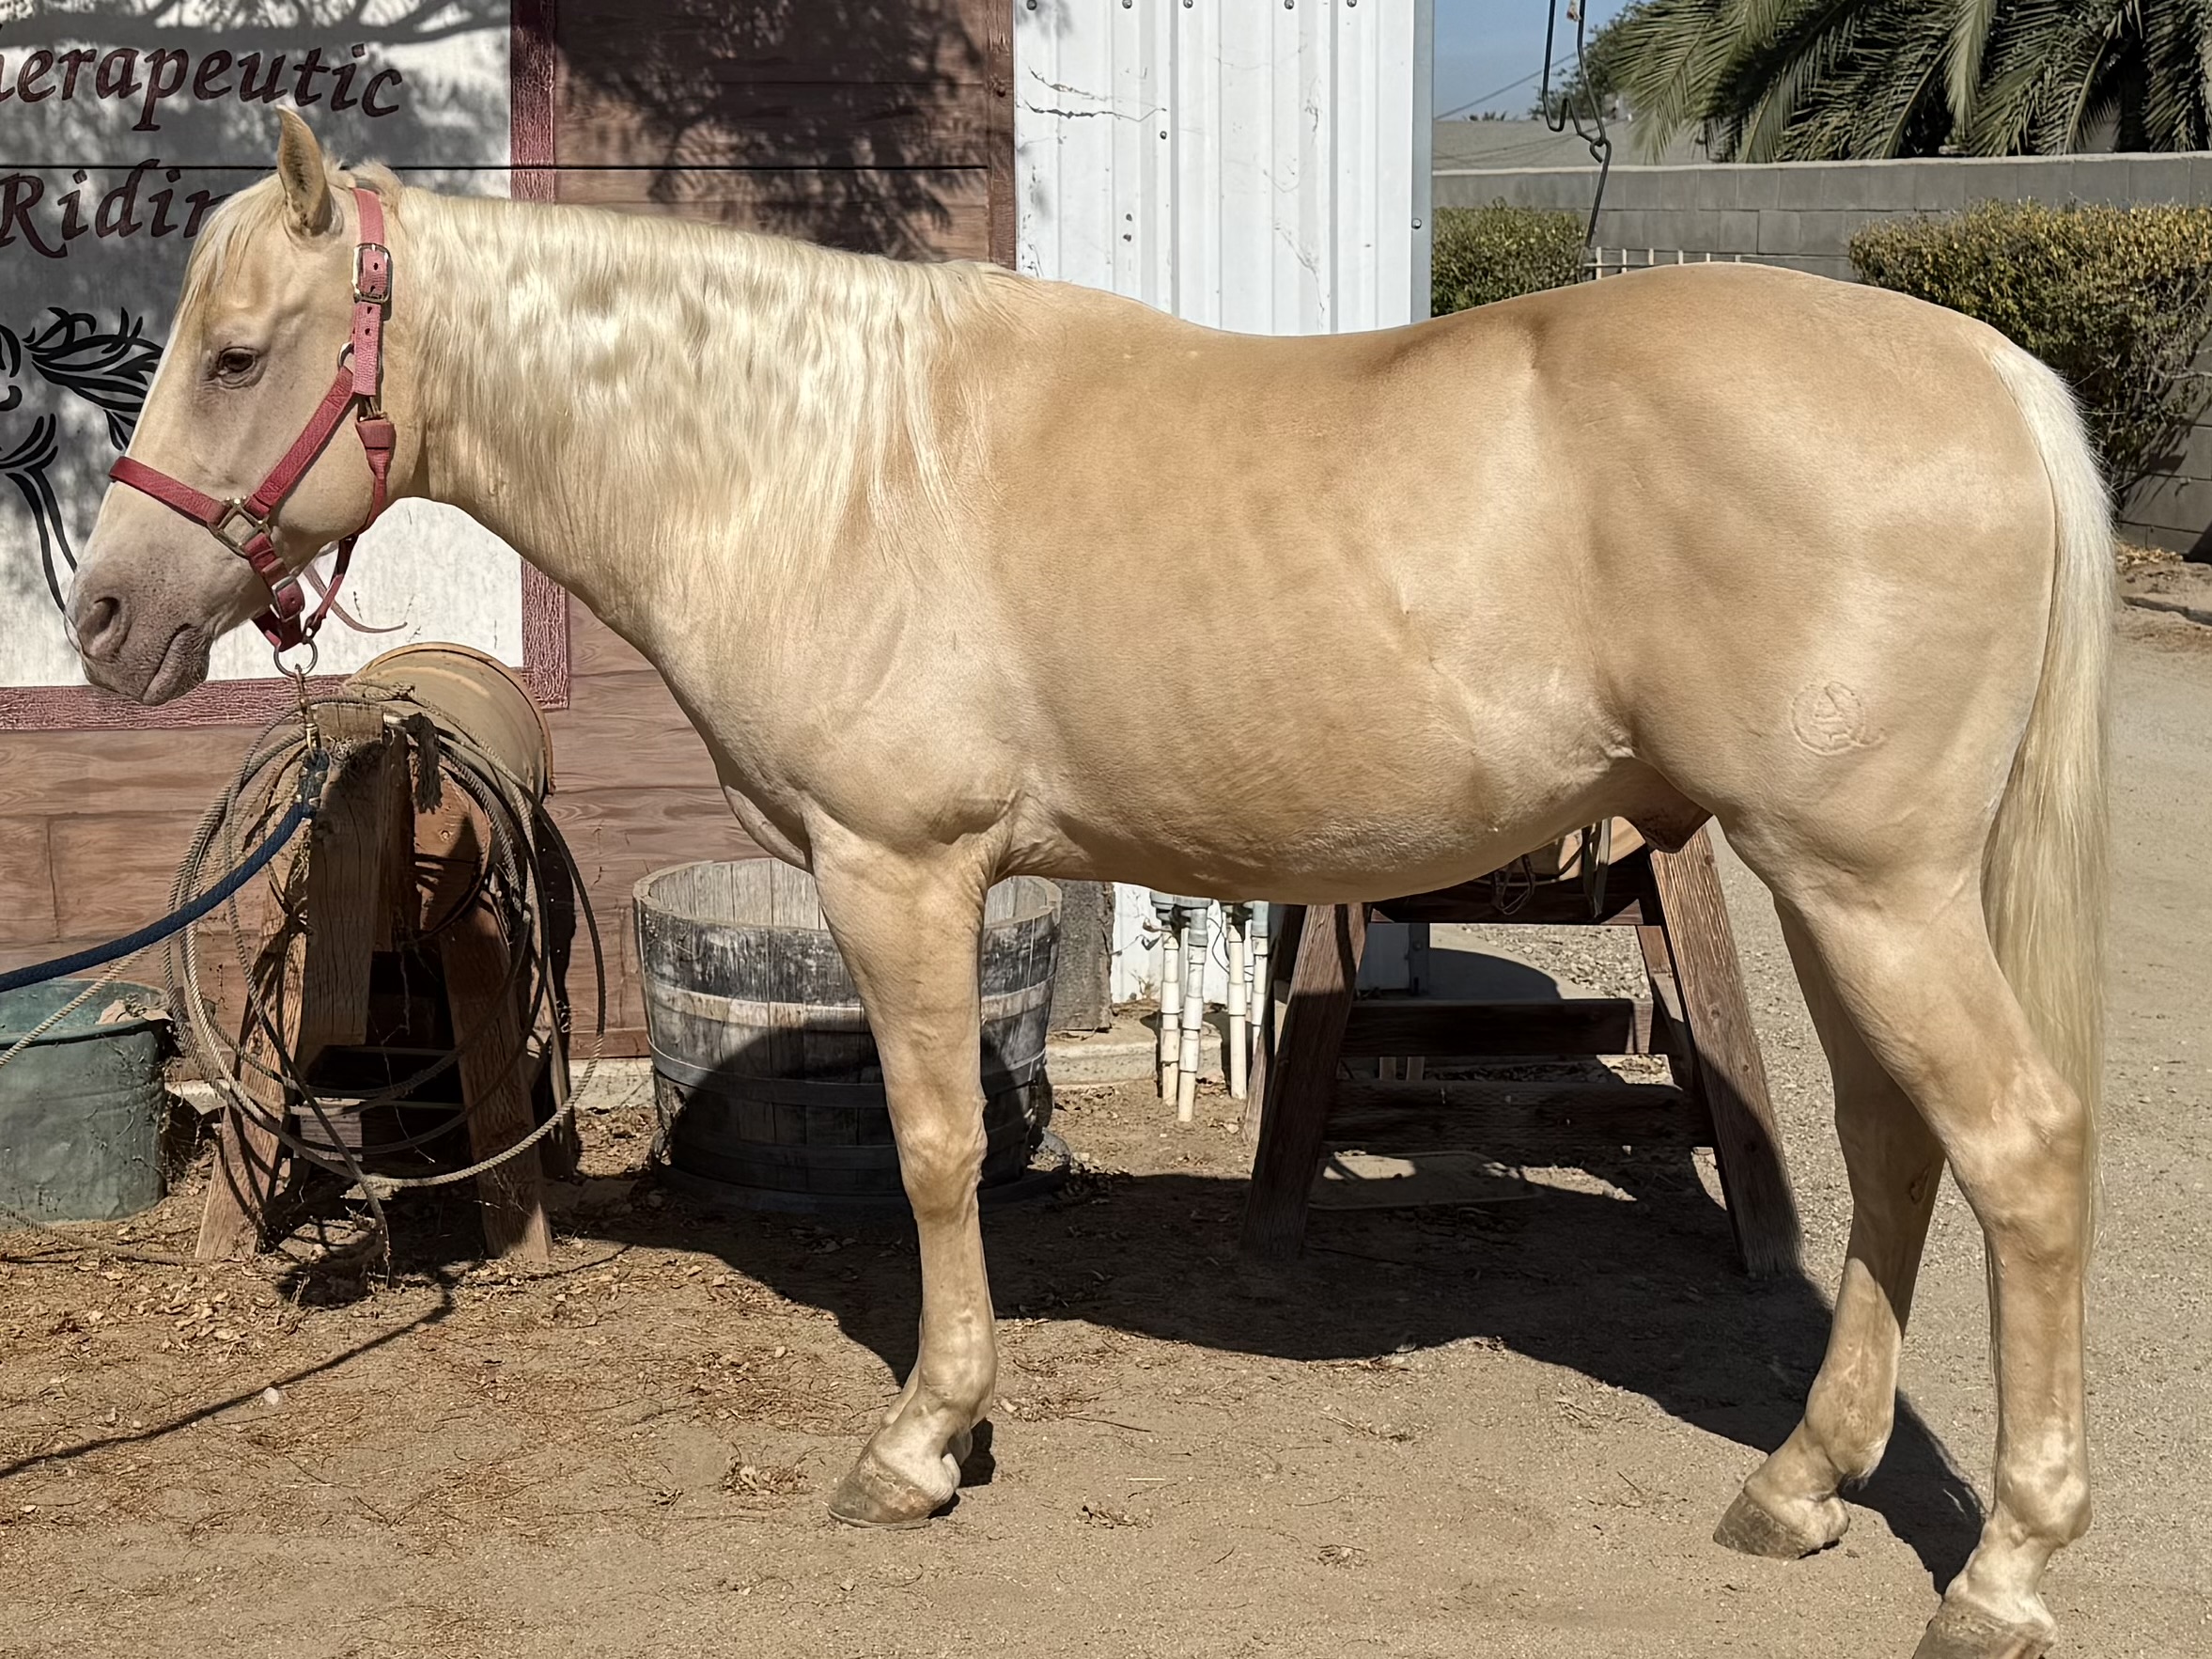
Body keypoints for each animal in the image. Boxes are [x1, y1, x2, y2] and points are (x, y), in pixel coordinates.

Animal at [65, 111, 2109, 1659]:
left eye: (236, 353)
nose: (103, 619)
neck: (813, 462)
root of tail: (1990, 372)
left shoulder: (899, 871)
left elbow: (936, 1149)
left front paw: (922, 1442)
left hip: (1866, 884)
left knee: (2011, 1150)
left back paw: (2000, 1573)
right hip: (1839, 888)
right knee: (1901, 1147)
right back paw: (1797, 1486)